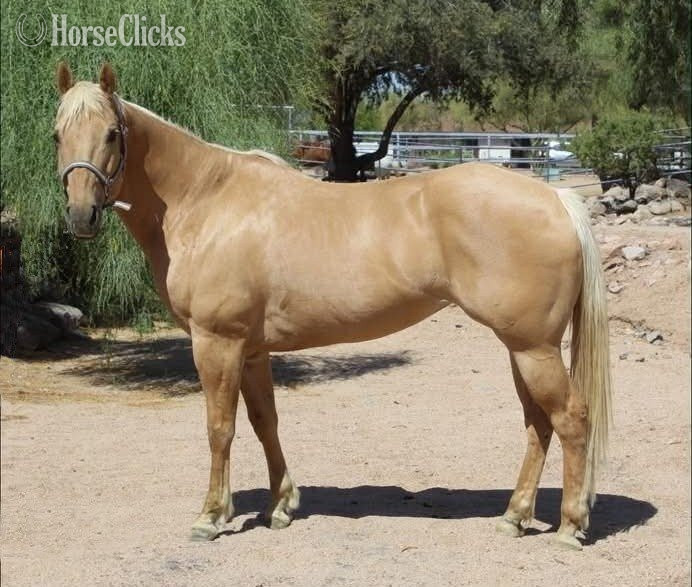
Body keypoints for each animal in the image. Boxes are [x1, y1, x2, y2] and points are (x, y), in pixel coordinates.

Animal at [53, 62, 612, 549]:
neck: (206, 202)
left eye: (112, 134)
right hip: (521, 347)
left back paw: (570, 527)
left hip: (533, 348)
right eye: (58, 134)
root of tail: (556, 199)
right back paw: (515, 517)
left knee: (571, 418)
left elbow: (220, 429)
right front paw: (280, 506)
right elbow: (265, 422)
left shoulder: (217, 343)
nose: (82, 216)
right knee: (538, 423)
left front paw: (211, 516)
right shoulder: (251, 350)